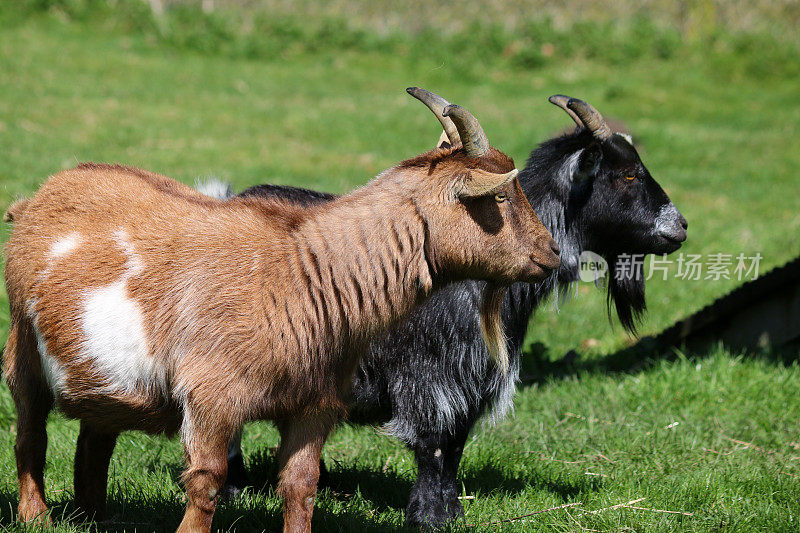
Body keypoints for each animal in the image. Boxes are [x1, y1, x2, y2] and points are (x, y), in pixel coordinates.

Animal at [3, 89, 560, 528]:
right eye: (502, 197)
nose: (552, 254)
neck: (302, 276)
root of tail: (40, 194)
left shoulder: (315, 404)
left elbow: (300, 486)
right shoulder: (212, 397)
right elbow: (207, 482)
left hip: (102, 377)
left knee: (95, 439)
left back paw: (93, 515)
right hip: (22, 345)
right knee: (30, 434)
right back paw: (37, 516)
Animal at [217, 94, 688, 524]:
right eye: (628, 174)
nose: (680, 227)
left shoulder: (470, 384)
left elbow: (456, 446)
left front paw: (452, 511)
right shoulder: (430, 379)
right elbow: (434, 446)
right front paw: (428, 515)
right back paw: (233, 488)